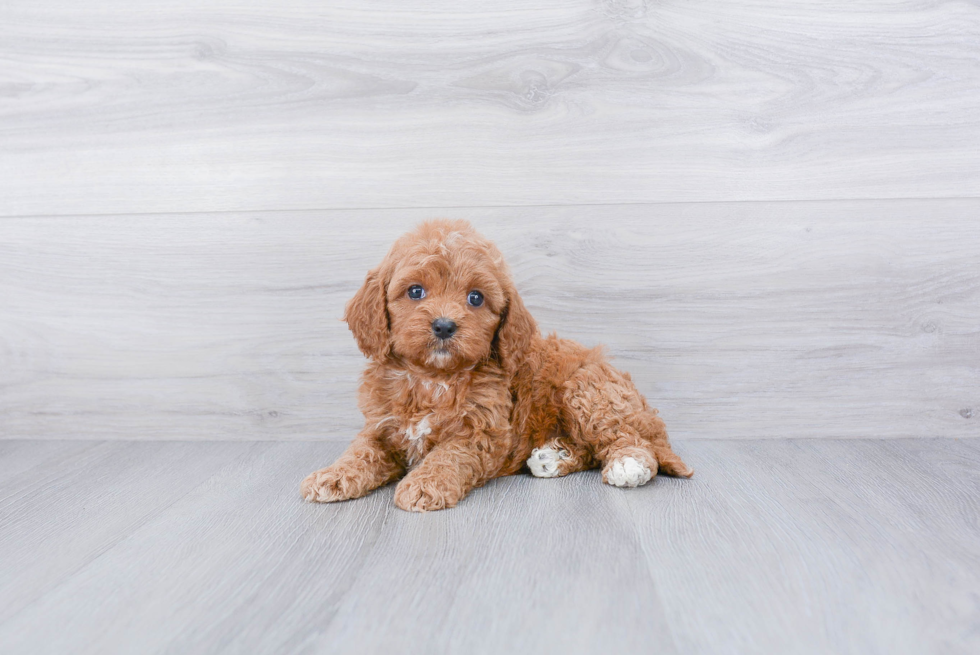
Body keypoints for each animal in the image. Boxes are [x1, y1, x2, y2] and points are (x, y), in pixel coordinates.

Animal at [302, 220, 692, 512]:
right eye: (415, 291)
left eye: (476, 298)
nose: (444, 326)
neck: (432, 377)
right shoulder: (381, 427)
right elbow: (360, 450)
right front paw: (332, 475)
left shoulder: (482, 433)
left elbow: (449, 455)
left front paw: (426, 483)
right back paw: (552, 458)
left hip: (589, 392)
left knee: (628, 441)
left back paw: (628, 464)